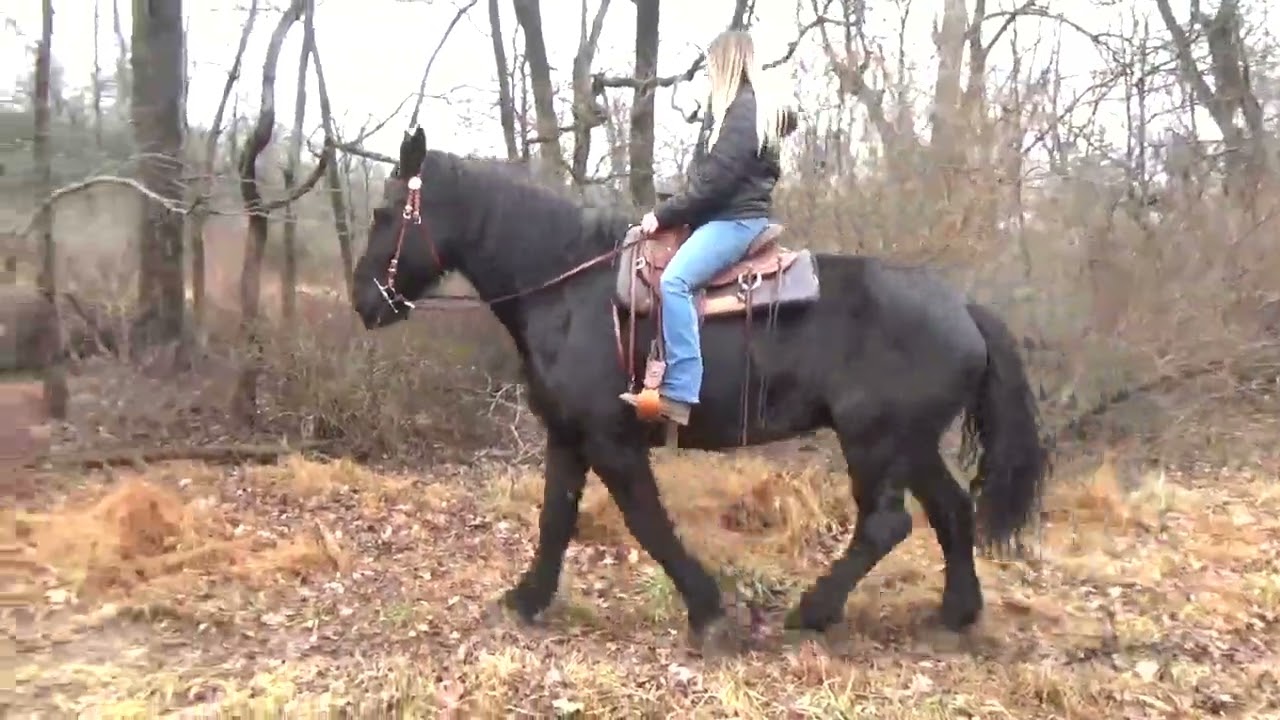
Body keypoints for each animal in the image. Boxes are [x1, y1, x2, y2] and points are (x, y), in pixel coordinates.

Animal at [350, 127, 1051, 653]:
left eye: (384, 213)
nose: (363, 301)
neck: (566, 287)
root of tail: (963, 306)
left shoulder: (611, 440)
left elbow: (647, 521)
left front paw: (708, 610)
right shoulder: (567, 435)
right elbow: (556, 518)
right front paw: (526, 599)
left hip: (876, 443)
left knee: (886, 524)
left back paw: (813, 611)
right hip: (912, 445)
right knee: (950, 512)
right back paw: (956, 614)